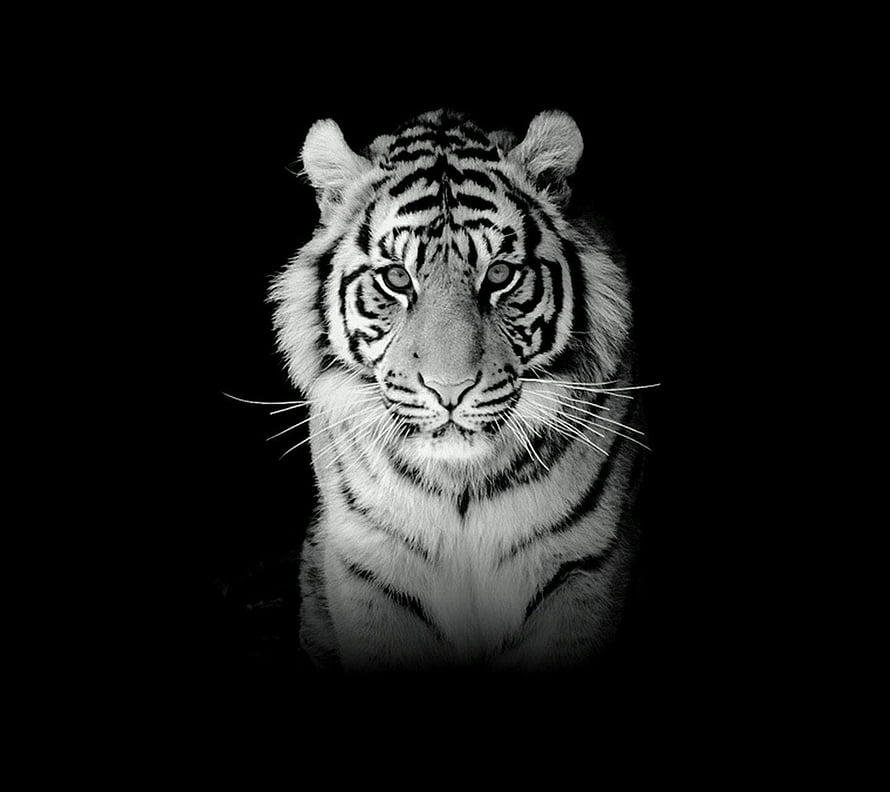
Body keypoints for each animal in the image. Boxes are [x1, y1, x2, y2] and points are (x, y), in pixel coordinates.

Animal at [270, 108, 648, 671]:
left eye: (500, 274)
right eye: (397, 279)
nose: (450, 391)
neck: (460, 487)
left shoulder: (584, 563)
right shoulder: (371, 564)